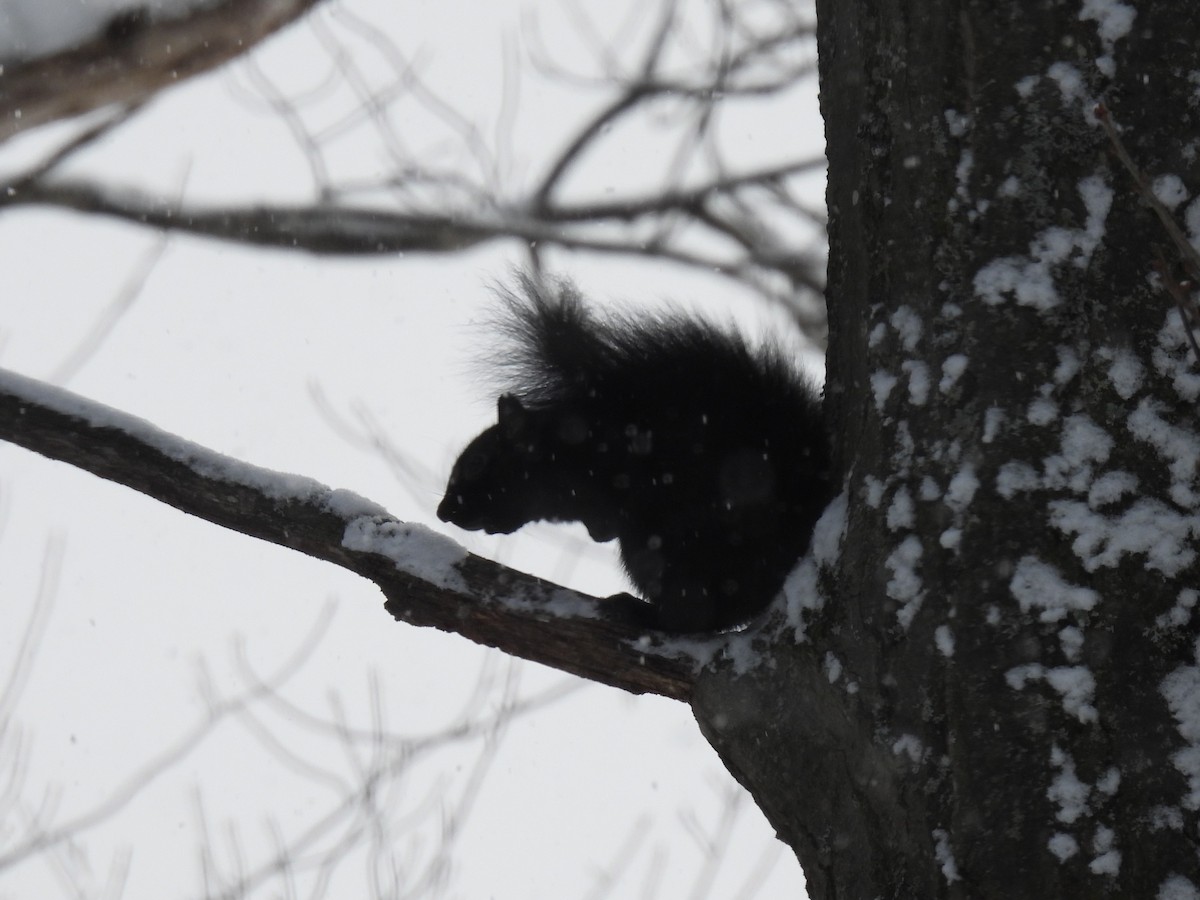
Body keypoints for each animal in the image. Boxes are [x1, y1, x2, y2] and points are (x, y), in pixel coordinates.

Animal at [437, 274, 832, 632]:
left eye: (477, 463)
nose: (443, 512)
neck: (575, 447)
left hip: (677, 543)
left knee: (697, 616)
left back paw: (641, 611)